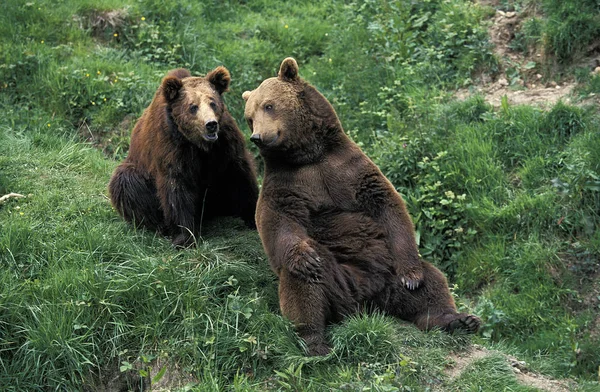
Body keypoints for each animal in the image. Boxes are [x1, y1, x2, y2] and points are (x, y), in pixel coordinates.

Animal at [109, 66, 258, 247]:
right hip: (137, 170)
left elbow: (240, 176)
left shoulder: (225, 144)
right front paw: (185, 236)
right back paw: (158, 226)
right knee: (126, 182)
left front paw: (253, 217)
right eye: (193, 106)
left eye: (213, 103)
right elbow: (176, 188)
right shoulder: (172, 147)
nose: (211, 124)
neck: (200, 145)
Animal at [241, 57, 480, 356]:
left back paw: (457, 319)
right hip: (340, 282)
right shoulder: (286, 183)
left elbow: (387, 205)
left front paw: (412, 277)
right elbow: (278, 221)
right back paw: (314, 340)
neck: (308, 155)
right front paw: (303, 256)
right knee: (305, 283)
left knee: (432, 282)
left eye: (269, 105)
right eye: (249, 117)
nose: (258, 137)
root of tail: (369, 303)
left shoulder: (348, 169)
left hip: (389, 269)